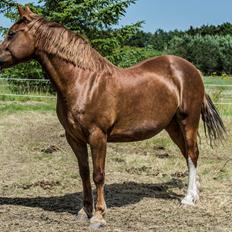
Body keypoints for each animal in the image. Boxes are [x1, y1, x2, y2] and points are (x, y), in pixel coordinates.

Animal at [0, 5, 225, 228]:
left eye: (12, 33)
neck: (83, 82)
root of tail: (191, 69)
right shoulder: (74, 138)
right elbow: (84, 173)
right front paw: (84, 211)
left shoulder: (98, 136)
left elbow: (98, 175)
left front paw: (99, 216)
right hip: (172, 126)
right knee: (188, 154)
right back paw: (195, 194)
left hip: (188, 121)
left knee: (192, 154)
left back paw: (188, 199)